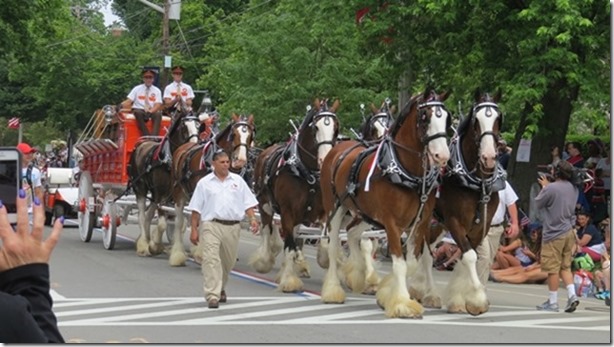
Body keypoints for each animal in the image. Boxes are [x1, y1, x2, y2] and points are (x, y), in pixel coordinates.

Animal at [170, 113, 256, 266]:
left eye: (251, 135)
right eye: (233, 134)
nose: (240, 160)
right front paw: (202, 253)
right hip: (178, 192)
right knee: (179, 221)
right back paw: (178, 254)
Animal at [250, 98, 342, 294]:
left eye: (336, 127)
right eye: (315, 128)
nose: (326, 160)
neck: (306, 171)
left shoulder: (322, 212)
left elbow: (323, 242)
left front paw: (324, 261)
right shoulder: (287, 211)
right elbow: (289, 246)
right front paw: (288, 281)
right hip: (265, 204)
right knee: (268, 229)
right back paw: (265, 260)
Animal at [320, 89, 450, 318]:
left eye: (446, 118)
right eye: (425, 117)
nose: (442, 155)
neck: (405, 171)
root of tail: (337, 149)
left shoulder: (421, 222)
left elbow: (412, 262)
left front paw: (386, 293)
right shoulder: (391, 223)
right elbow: (400, 264)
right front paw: (402, 303)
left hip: (365, 214)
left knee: (352, 233)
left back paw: (358, 275)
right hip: (335, 209)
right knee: (334, 246)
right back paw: (333, 290)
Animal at [412, 89, 508, 316]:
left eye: (498, 118)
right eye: (476, 120)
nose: (489, 157)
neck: (476, 182)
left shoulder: (481, 225)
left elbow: (467, 256)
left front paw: (462, 299)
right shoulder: (455, 221)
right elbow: (469, 256)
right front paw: (477, 300)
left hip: (437, 224)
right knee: (424, 253)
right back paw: (426, 292)